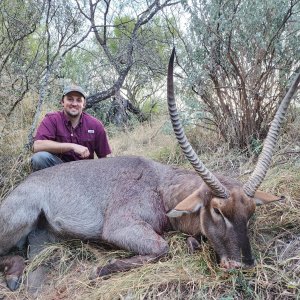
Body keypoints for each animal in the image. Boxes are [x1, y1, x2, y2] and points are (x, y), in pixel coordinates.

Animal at [0, 49, 300, 290]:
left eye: (250, 212)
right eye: (217, 210)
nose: (243, 265)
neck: (160, 185)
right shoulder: (120, 226)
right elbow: (162, 247)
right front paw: (102, 269)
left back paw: (15, 275)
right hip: (22, 216)